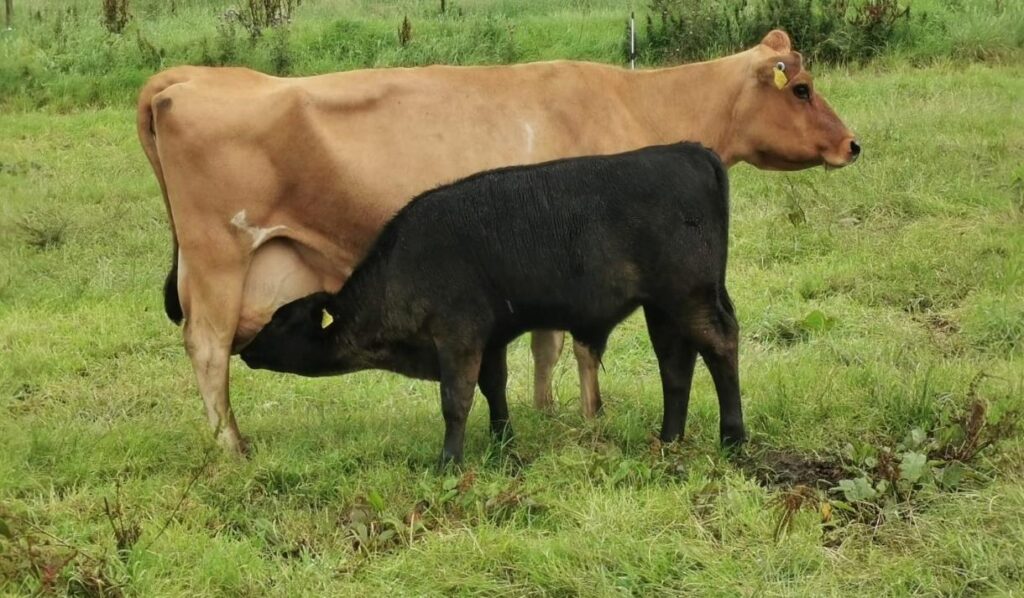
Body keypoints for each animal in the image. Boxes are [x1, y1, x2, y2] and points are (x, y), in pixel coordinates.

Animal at [136, 30, 856, 450]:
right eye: (801, 88)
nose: (852, 143)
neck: (636, 102)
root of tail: (190, 76)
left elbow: (542, 345)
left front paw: (544, 412)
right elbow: (575, 346)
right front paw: (587, 414)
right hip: (220, 260)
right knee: (207, 349)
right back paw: (233, 448)